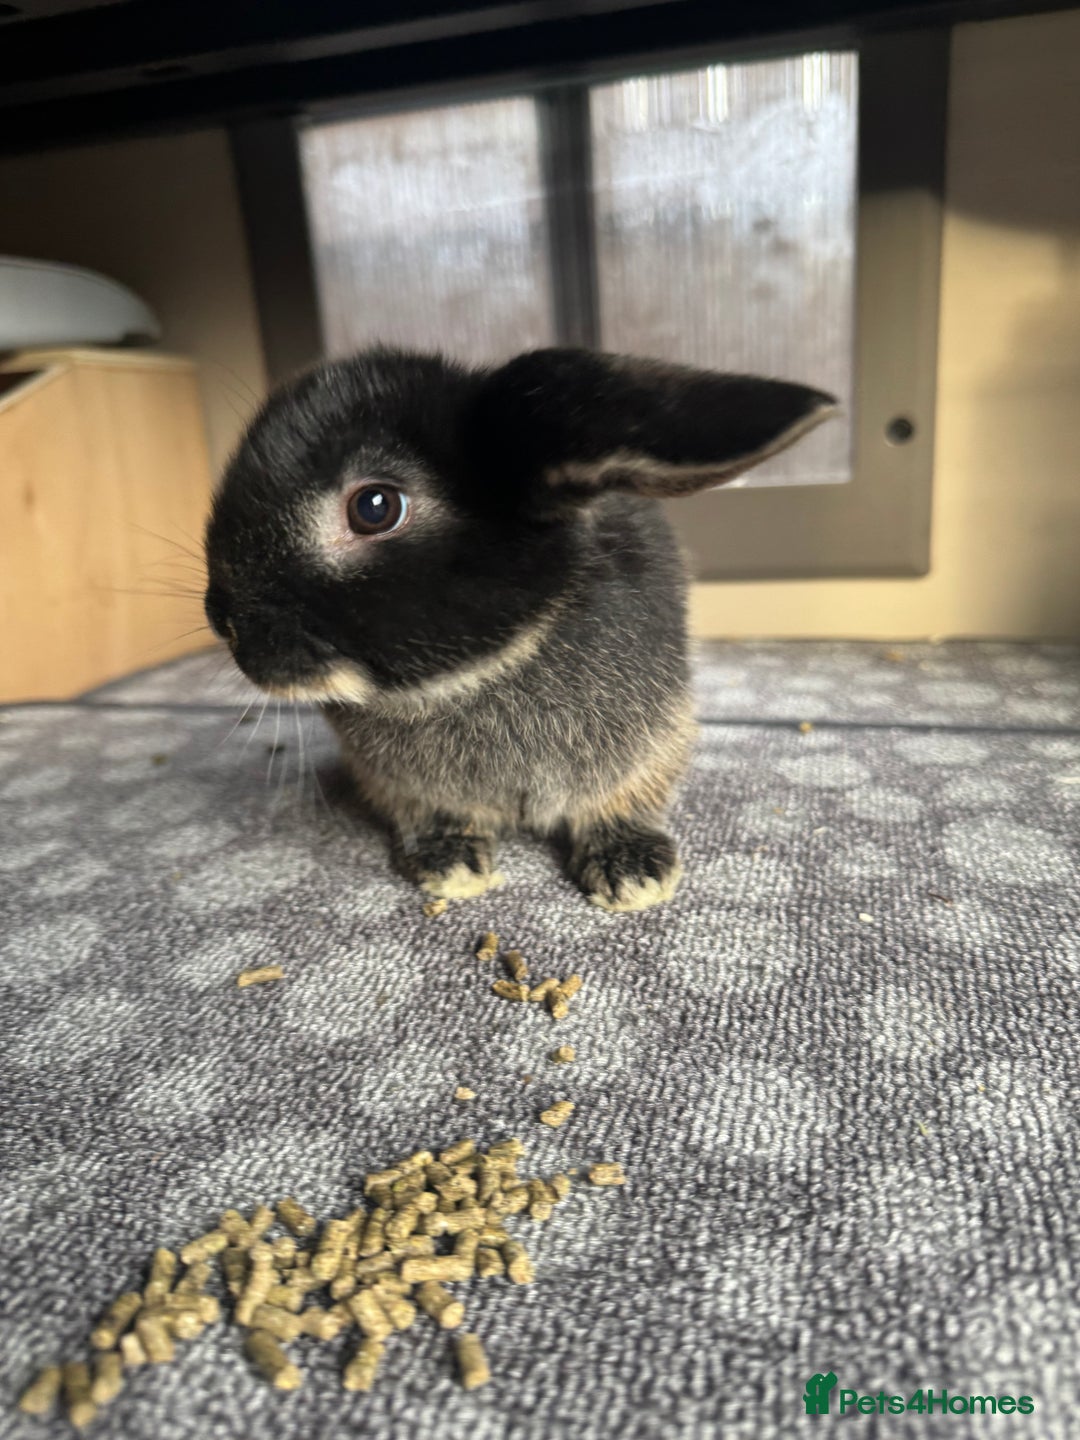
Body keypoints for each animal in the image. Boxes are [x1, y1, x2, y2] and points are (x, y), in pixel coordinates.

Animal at [204, 346, 835, 911]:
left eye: (375, 507)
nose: (222, 619)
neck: (480, 673)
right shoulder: (403, 785)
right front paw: (450, 865)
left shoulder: (654, 738)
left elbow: (623, 799)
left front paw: (633, 873)